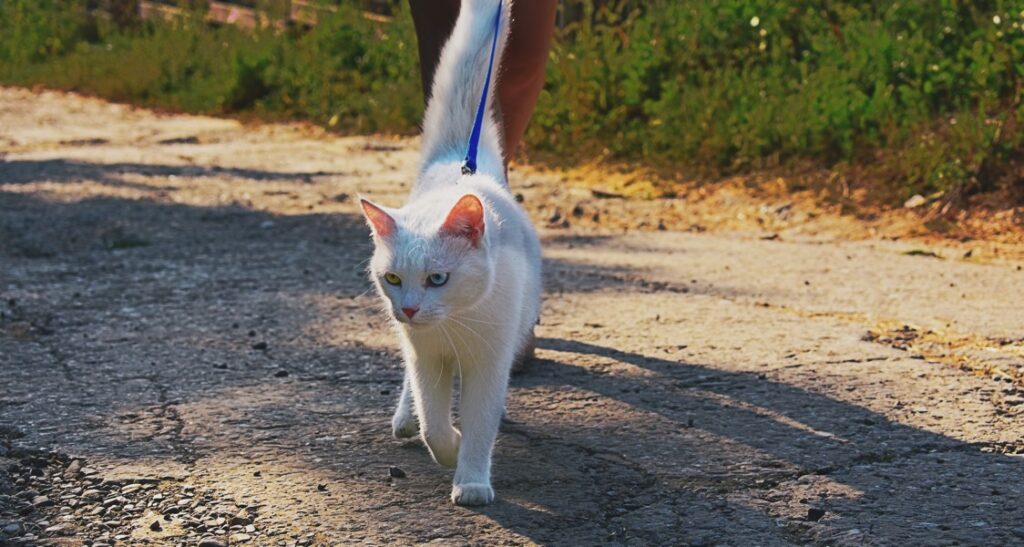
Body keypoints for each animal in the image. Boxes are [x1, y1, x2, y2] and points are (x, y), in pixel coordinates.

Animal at [356, 0, 540, 508]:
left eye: (438, 278)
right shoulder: (427, 359)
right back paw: (405, 418)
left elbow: (480, 425)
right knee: (412, 392)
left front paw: (471, 479)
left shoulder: (488, 364)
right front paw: (448, 446)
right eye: (393, 279)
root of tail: (459, 163)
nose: (410, 308)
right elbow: (434, 421)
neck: (454, 324)